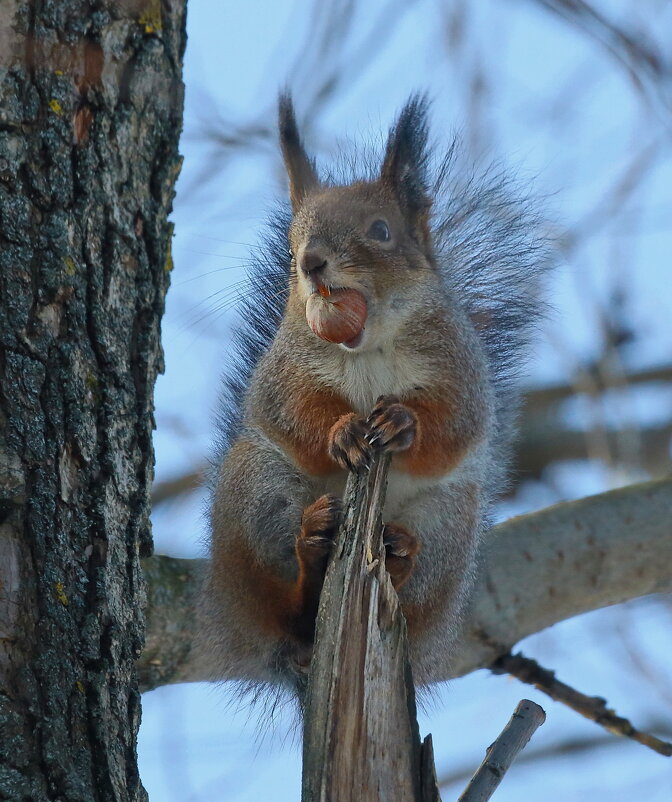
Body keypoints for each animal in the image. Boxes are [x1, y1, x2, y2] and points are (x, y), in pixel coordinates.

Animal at [196, 92, 552, 692]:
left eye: (381, 230)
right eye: (291, 243)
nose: (310, 262)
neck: (367, 345)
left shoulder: (459, 370)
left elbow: (454, 427)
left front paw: (404, 423)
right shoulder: (286, 369)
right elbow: (292, 410)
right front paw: (342, 431)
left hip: (449, 528)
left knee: (411, 583)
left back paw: (400, 558)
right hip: (255, 496)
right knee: (287, 605)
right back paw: (310, 551)